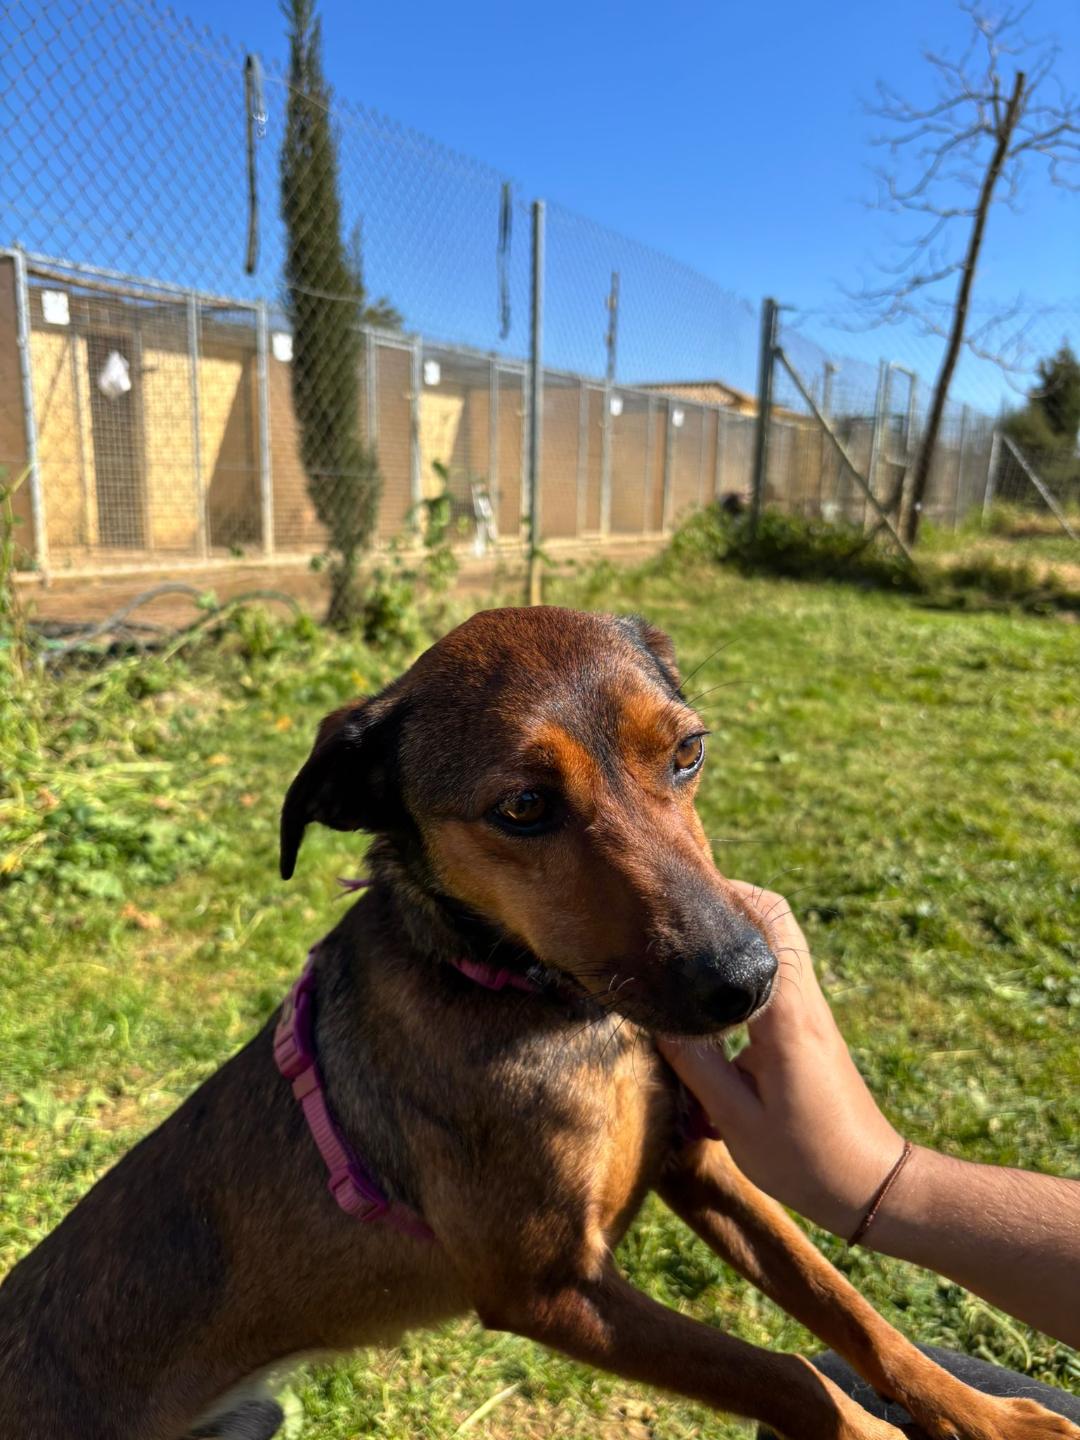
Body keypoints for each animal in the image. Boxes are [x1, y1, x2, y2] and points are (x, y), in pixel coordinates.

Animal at [1, 606, 1074, 1440]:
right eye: (522, 807)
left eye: (688, 753)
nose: (749, 980)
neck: (550, 1012)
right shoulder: (551, 1290)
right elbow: (791, 1373)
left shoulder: (701, 1164)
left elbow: (846, 1307)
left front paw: (986, 1415)